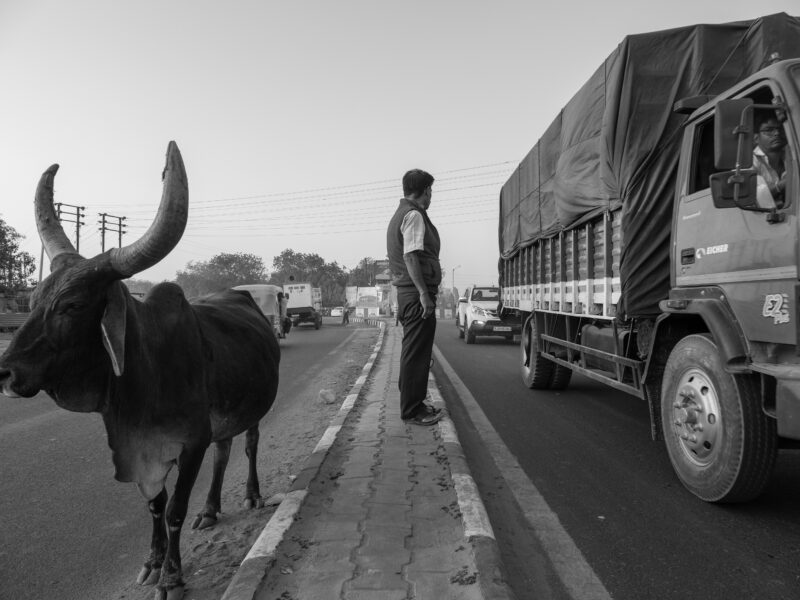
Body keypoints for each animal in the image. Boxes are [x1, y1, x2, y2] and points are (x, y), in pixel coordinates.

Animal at [0, 143, 282, 596]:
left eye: (72, 305)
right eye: (33, 300)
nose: (6, 374)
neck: (145, 376)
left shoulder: (190, 442)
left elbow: (175, 510)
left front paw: (171, 575)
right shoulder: (140, 447)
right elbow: (154, 504)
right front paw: (152, 562)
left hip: (252, 407)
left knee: (250, 444)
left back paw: (252, 496)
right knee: (224, 452)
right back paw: (211, 509)